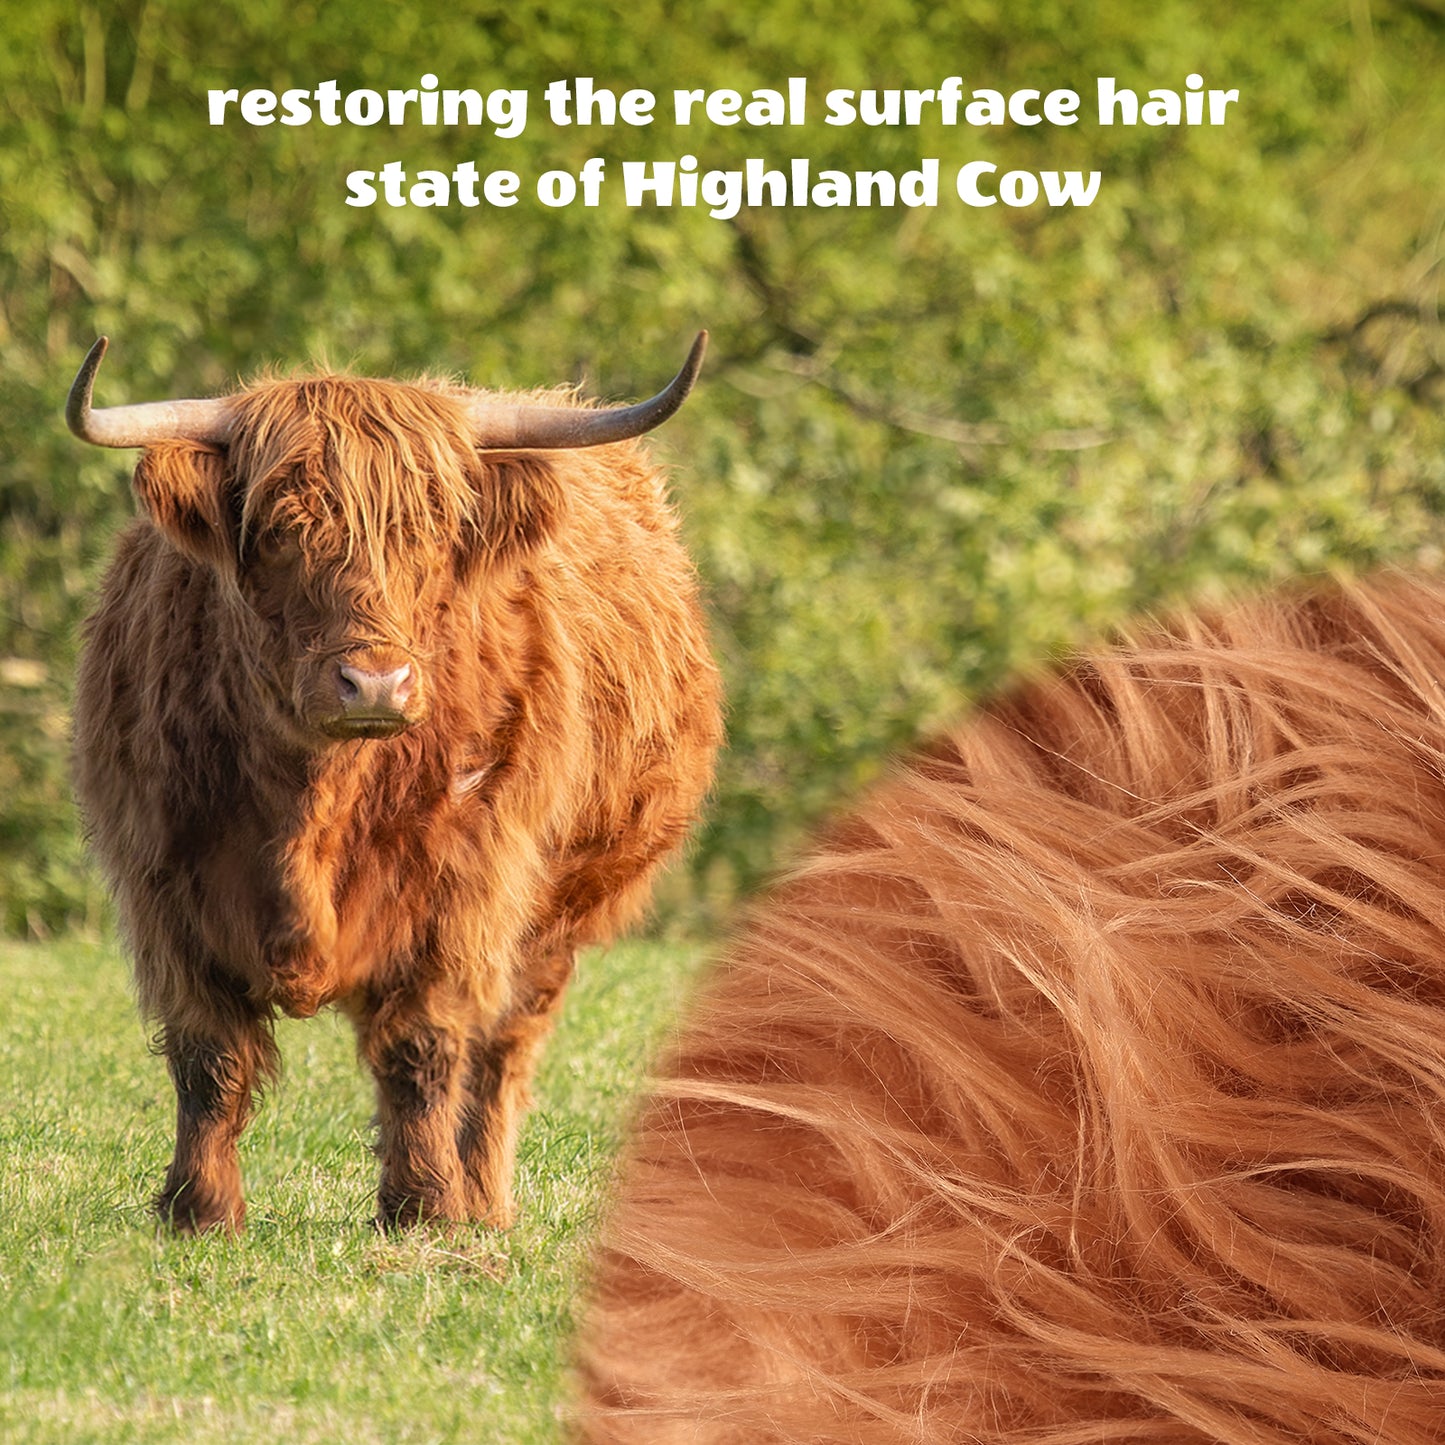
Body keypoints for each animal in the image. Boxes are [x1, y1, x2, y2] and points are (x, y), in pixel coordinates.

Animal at [67, 335, 722, 1235]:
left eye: (433, 533)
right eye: (280, 529)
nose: (374, 684)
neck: (312, 806)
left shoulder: (463, 888)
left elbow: (423, 1047)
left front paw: (423, 1206)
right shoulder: (164, 885)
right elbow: (209, 1056)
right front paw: (199, 1209)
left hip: (554, 919)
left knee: (502, 1053)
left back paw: (484, 1201)